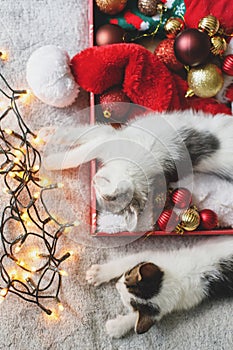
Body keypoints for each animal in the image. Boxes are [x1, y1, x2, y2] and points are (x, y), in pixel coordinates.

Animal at [44, 108, 233, 231]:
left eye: (107, 197)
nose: (94, 180)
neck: (131, 167)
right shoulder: (111, 137)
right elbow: (82, 135)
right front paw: (50, 133)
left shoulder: (108, 138)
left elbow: (79, 152)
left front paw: (50, 159)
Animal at [85, 237, 233, 338]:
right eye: (127, 276)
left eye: (127, 304)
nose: (117, 286)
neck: (179, 281)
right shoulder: (154, 256)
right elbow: (125, 261)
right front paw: (98, 274)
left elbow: (144, 316)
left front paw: (117, 327)